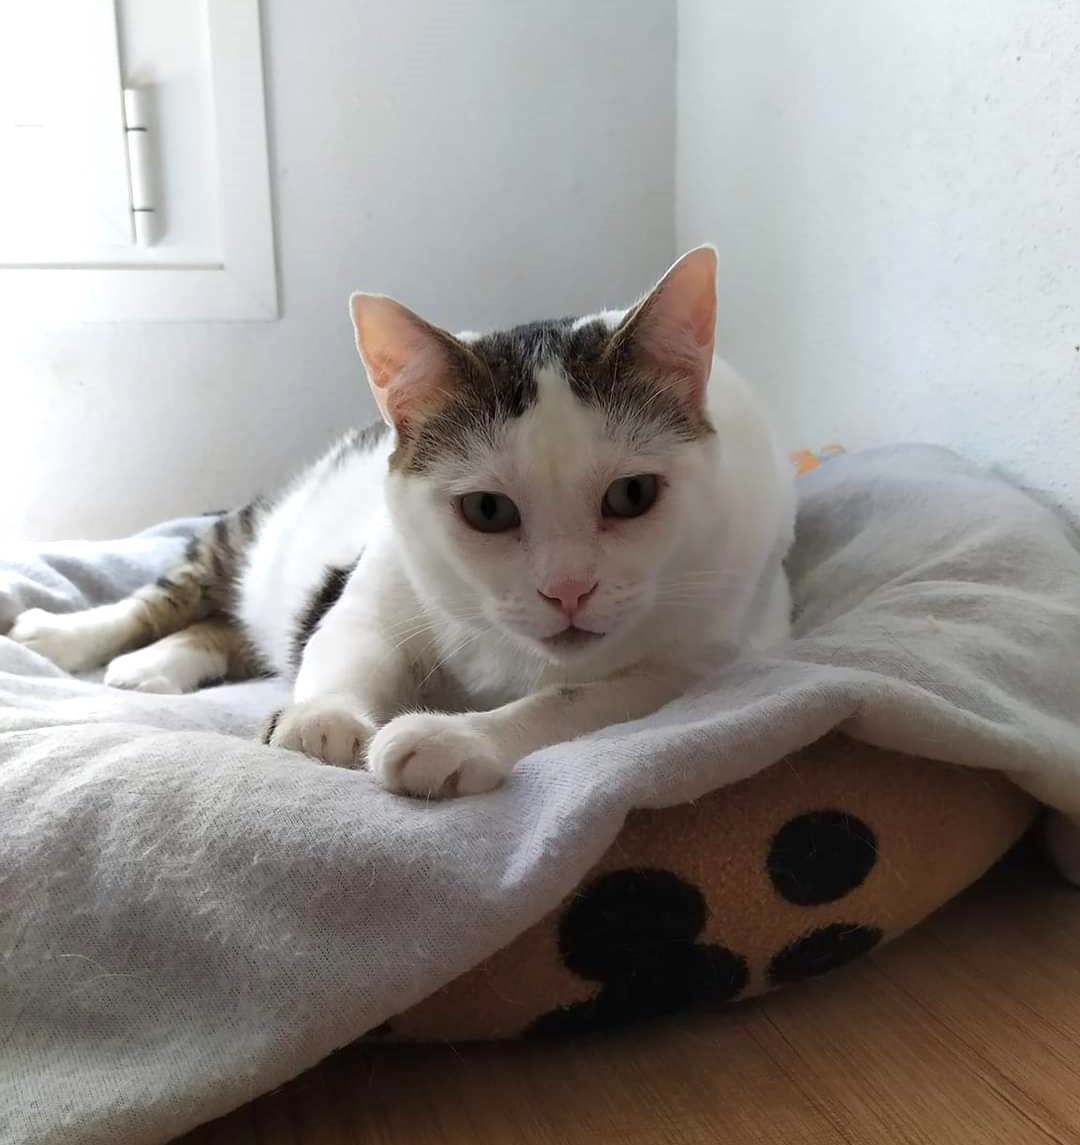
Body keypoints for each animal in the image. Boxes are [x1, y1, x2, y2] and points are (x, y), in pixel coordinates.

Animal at [9, 247, 796, 798]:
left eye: (632, 495)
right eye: (487, 510)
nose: (568, 590)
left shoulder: (697, 661)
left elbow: (576, 699)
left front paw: (453, 742)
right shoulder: (376, 583)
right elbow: (344, 644)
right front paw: (318, 719)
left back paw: (163, 663)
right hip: (253, 529)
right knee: (172, 595)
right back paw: (72, 636)